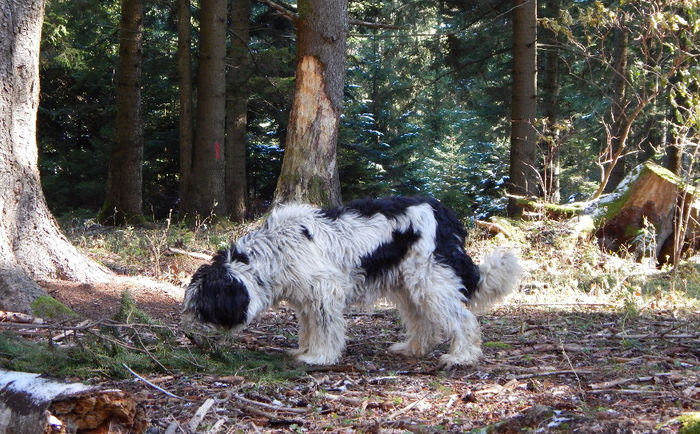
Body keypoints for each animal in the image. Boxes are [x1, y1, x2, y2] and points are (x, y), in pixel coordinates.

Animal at [180, 197, 520, 366]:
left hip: (430, 280)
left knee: (463, 319)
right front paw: (306, 351)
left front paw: (319, 357)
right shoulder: (307, 298)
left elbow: (326, 328)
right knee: (424, 322)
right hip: (408, 285)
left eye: (205, 305)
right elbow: (310, 327)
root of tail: (444, 213)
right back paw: (412, 349)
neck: (274, 250)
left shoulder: (324, 292)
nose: (194, 325)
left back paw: (462, 356)